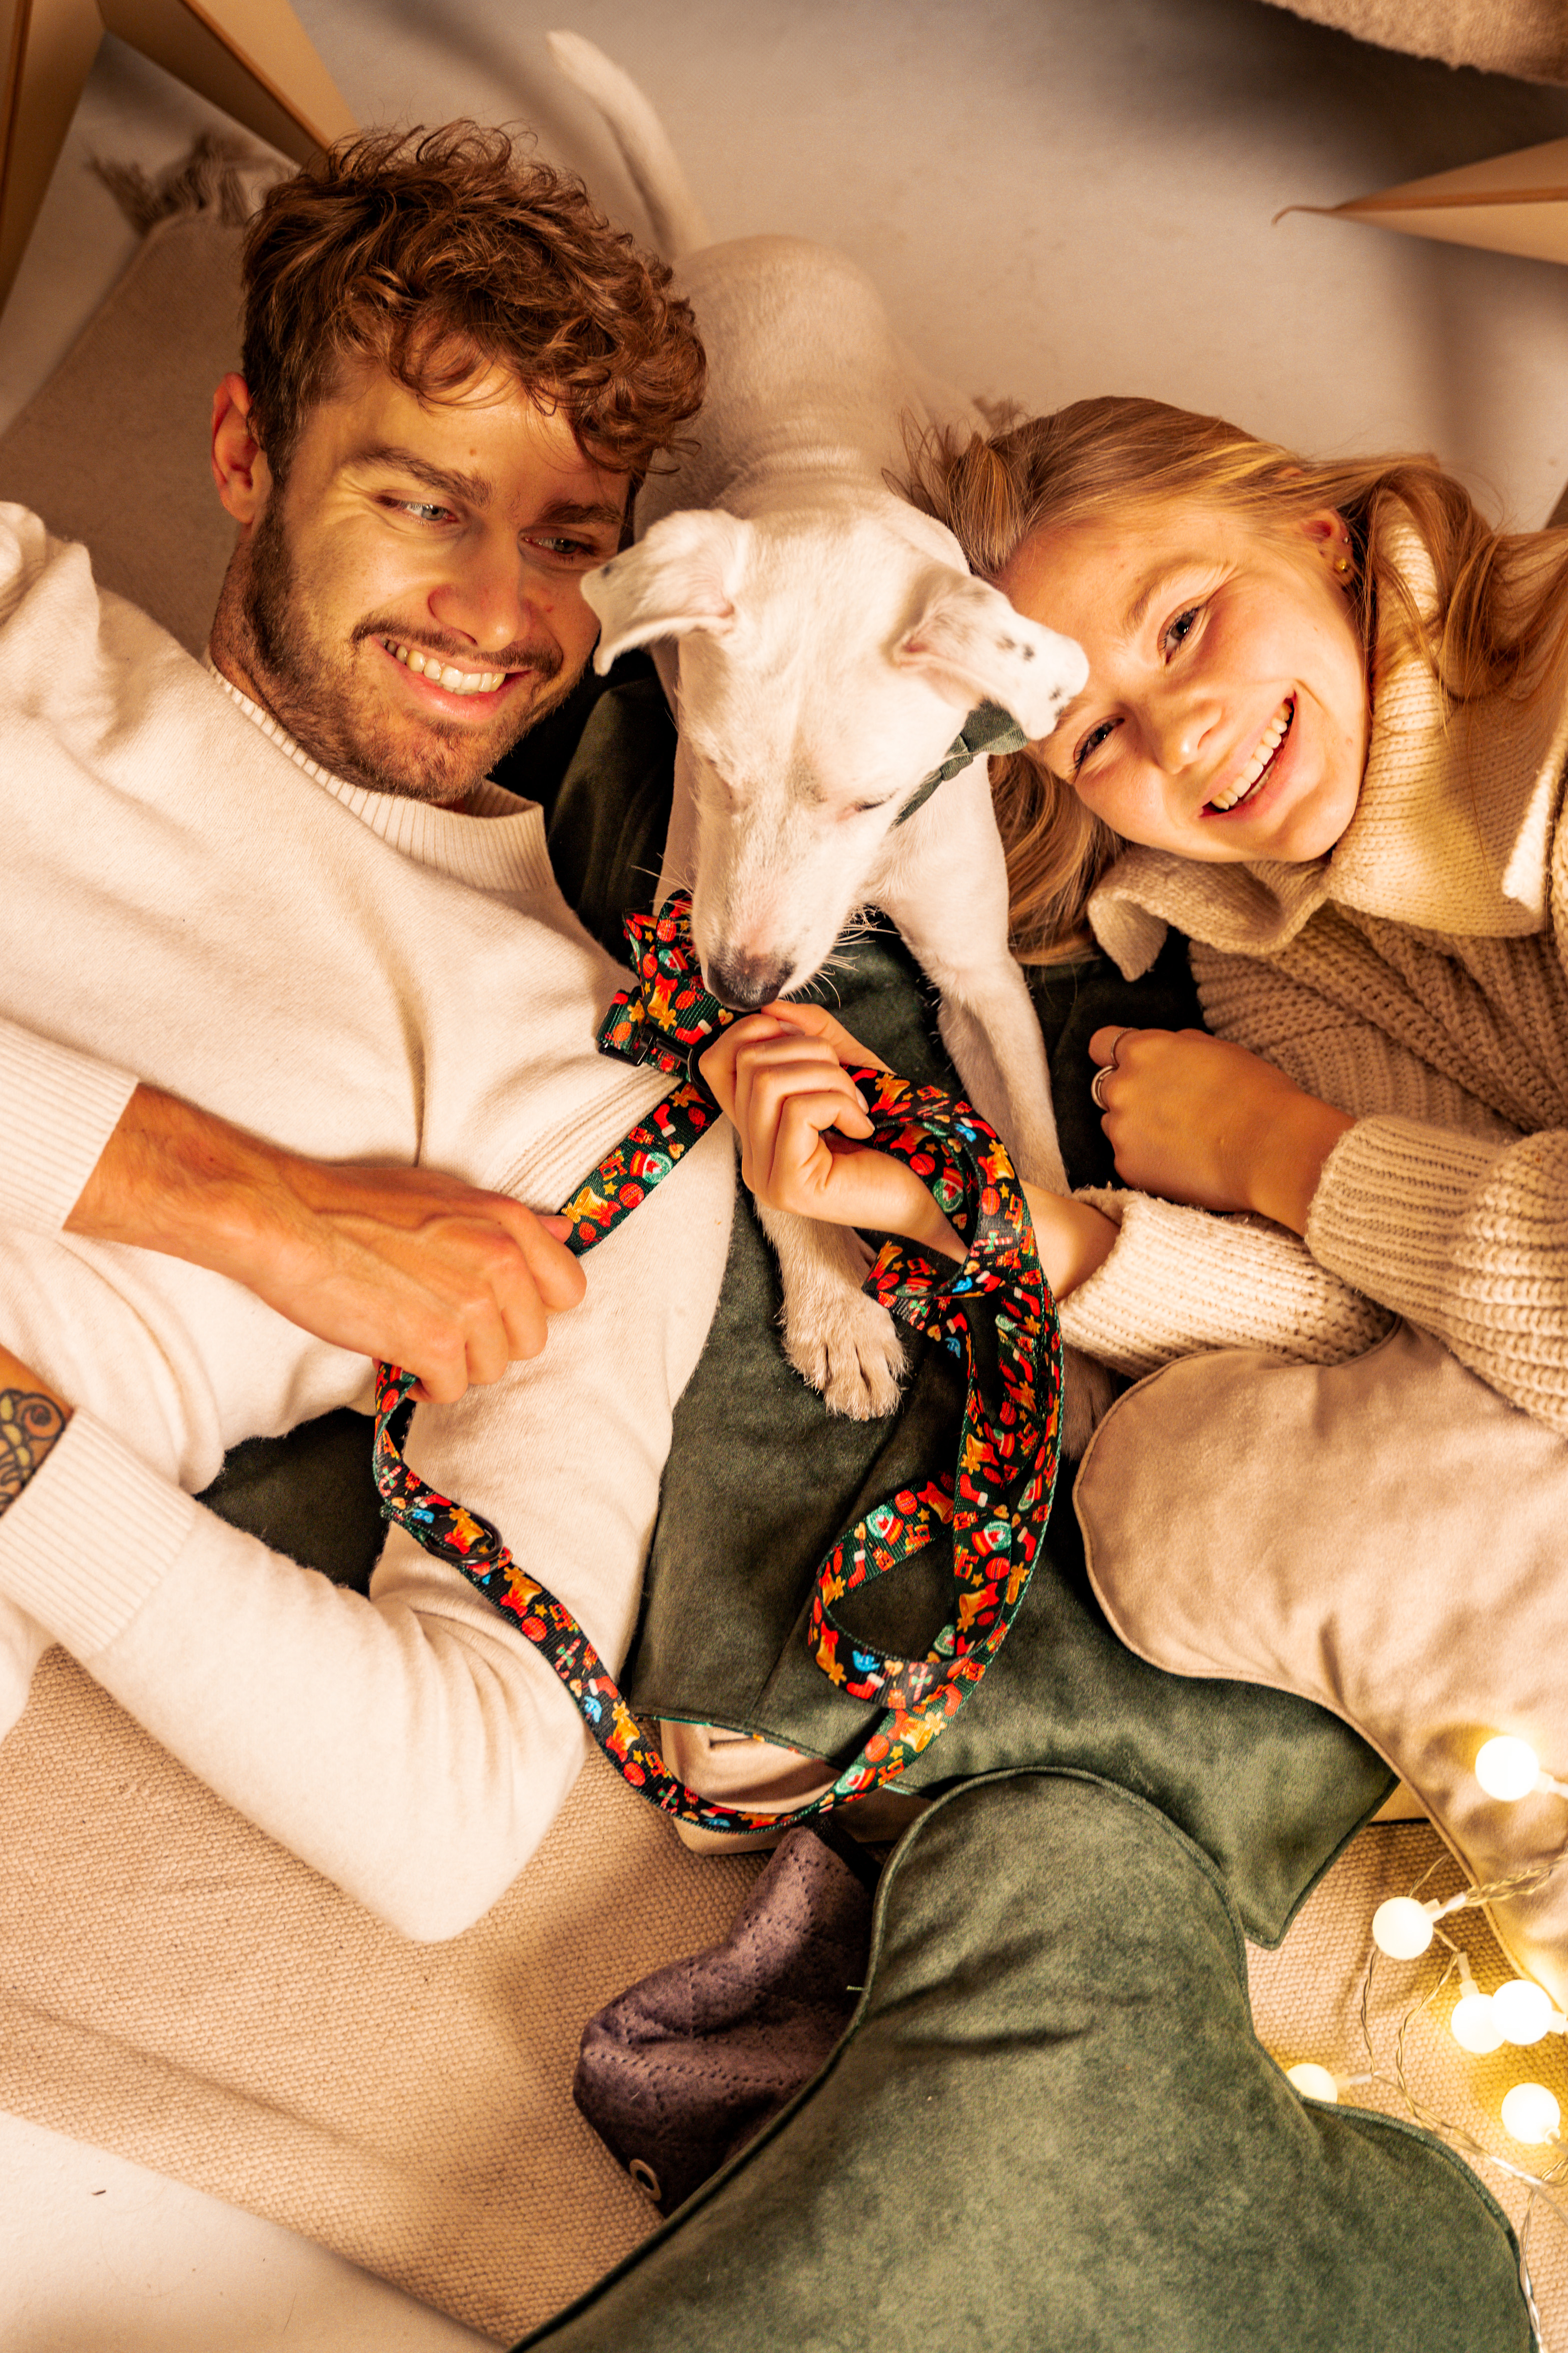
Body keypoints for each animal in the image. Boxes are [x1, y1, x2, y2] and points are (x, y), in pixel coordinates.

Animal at [551, 33, 1088, 1421]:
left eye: (869, 799)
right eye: (712, 768)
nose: (740, 979)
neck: (819, 477)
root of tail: (725, 247)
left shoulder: (981, 976)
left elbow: (1033, 1159)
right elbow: (765, 1138)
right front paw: (839, 1305)